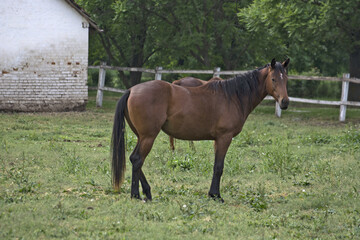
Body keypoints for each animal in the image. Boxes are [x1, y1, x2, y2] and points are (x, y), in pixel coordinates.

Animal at [111, 58, 292, 202]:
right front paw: (216, 196)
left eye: (286, 79)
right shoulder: (224, 138)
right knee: (137, 160)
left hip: (141, 136)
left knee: (134, 159)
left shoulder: (217, 140)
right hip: (148, 136)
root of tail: (132, 90)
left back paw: (147, 192)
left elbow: (216, 166)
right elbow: (219, 167)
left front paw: (213, 194)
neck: (233, 97)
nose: (285, 102)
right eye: (273, 79)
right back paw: (136, 195)